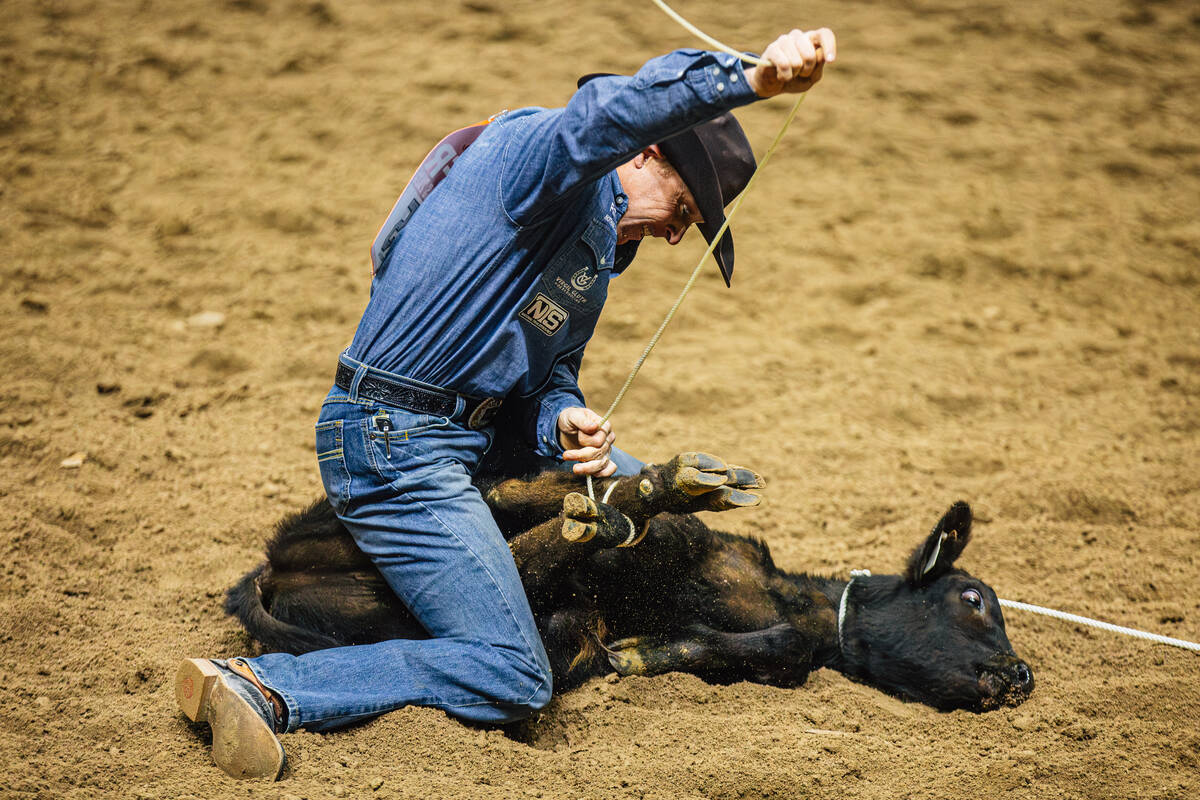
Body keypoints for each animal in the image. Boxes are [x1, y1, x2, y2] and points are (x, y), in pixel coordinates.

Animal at [225, 452, 1033, 712]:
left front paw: (650, 654)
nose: (1020, 674)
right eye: (972, 599)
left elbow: (779, 653)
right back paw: (657, 486)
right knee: (525, 521)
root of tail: (271, 567)